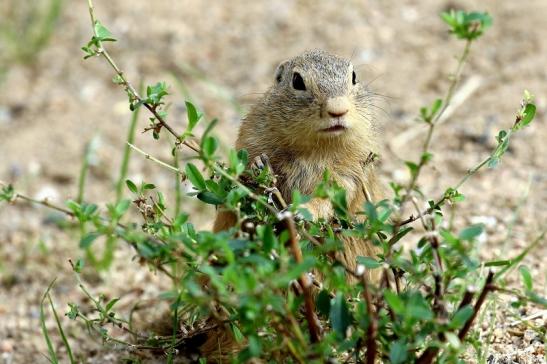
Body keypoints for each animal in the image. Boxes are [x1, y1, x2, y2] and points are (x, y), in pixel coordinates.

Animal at [212, 49, 384, 282]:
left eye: (354, 76)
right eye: (297, 81)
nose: (338, 109)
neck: (317, 150)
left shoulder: (352, 169)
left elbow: (335, 194)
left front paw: (302, 210)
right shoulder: (252, 138)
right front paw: (259, 167)